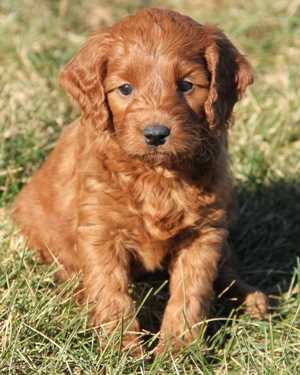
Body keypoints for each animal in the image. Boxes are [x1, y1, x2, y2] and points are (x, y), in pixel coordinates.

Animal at [12, 9, 268, 356]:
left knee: (227, 267)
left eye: (186, 85)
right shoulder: (99, 232)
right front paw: (122, 352)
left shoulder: (204, 233)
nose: (156, 134)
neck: (157, 175)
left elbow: (190, 294)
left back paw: (252, 299)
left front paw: (177, 352)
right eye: (125, 89)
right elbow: (111, 294)